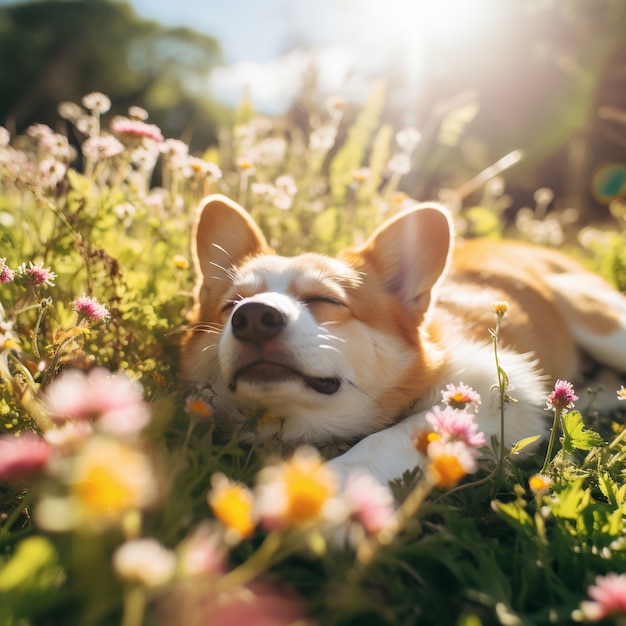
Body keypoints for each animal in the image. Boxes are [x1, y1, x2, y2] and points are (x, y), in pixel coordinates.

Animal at [179, 195, 624, 482]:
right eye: (232, 305)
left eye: (325, 300)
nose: (253, 318)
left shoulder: (501, 391)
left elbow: (403, 431)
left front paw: (342, 486)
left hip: (597, 319)